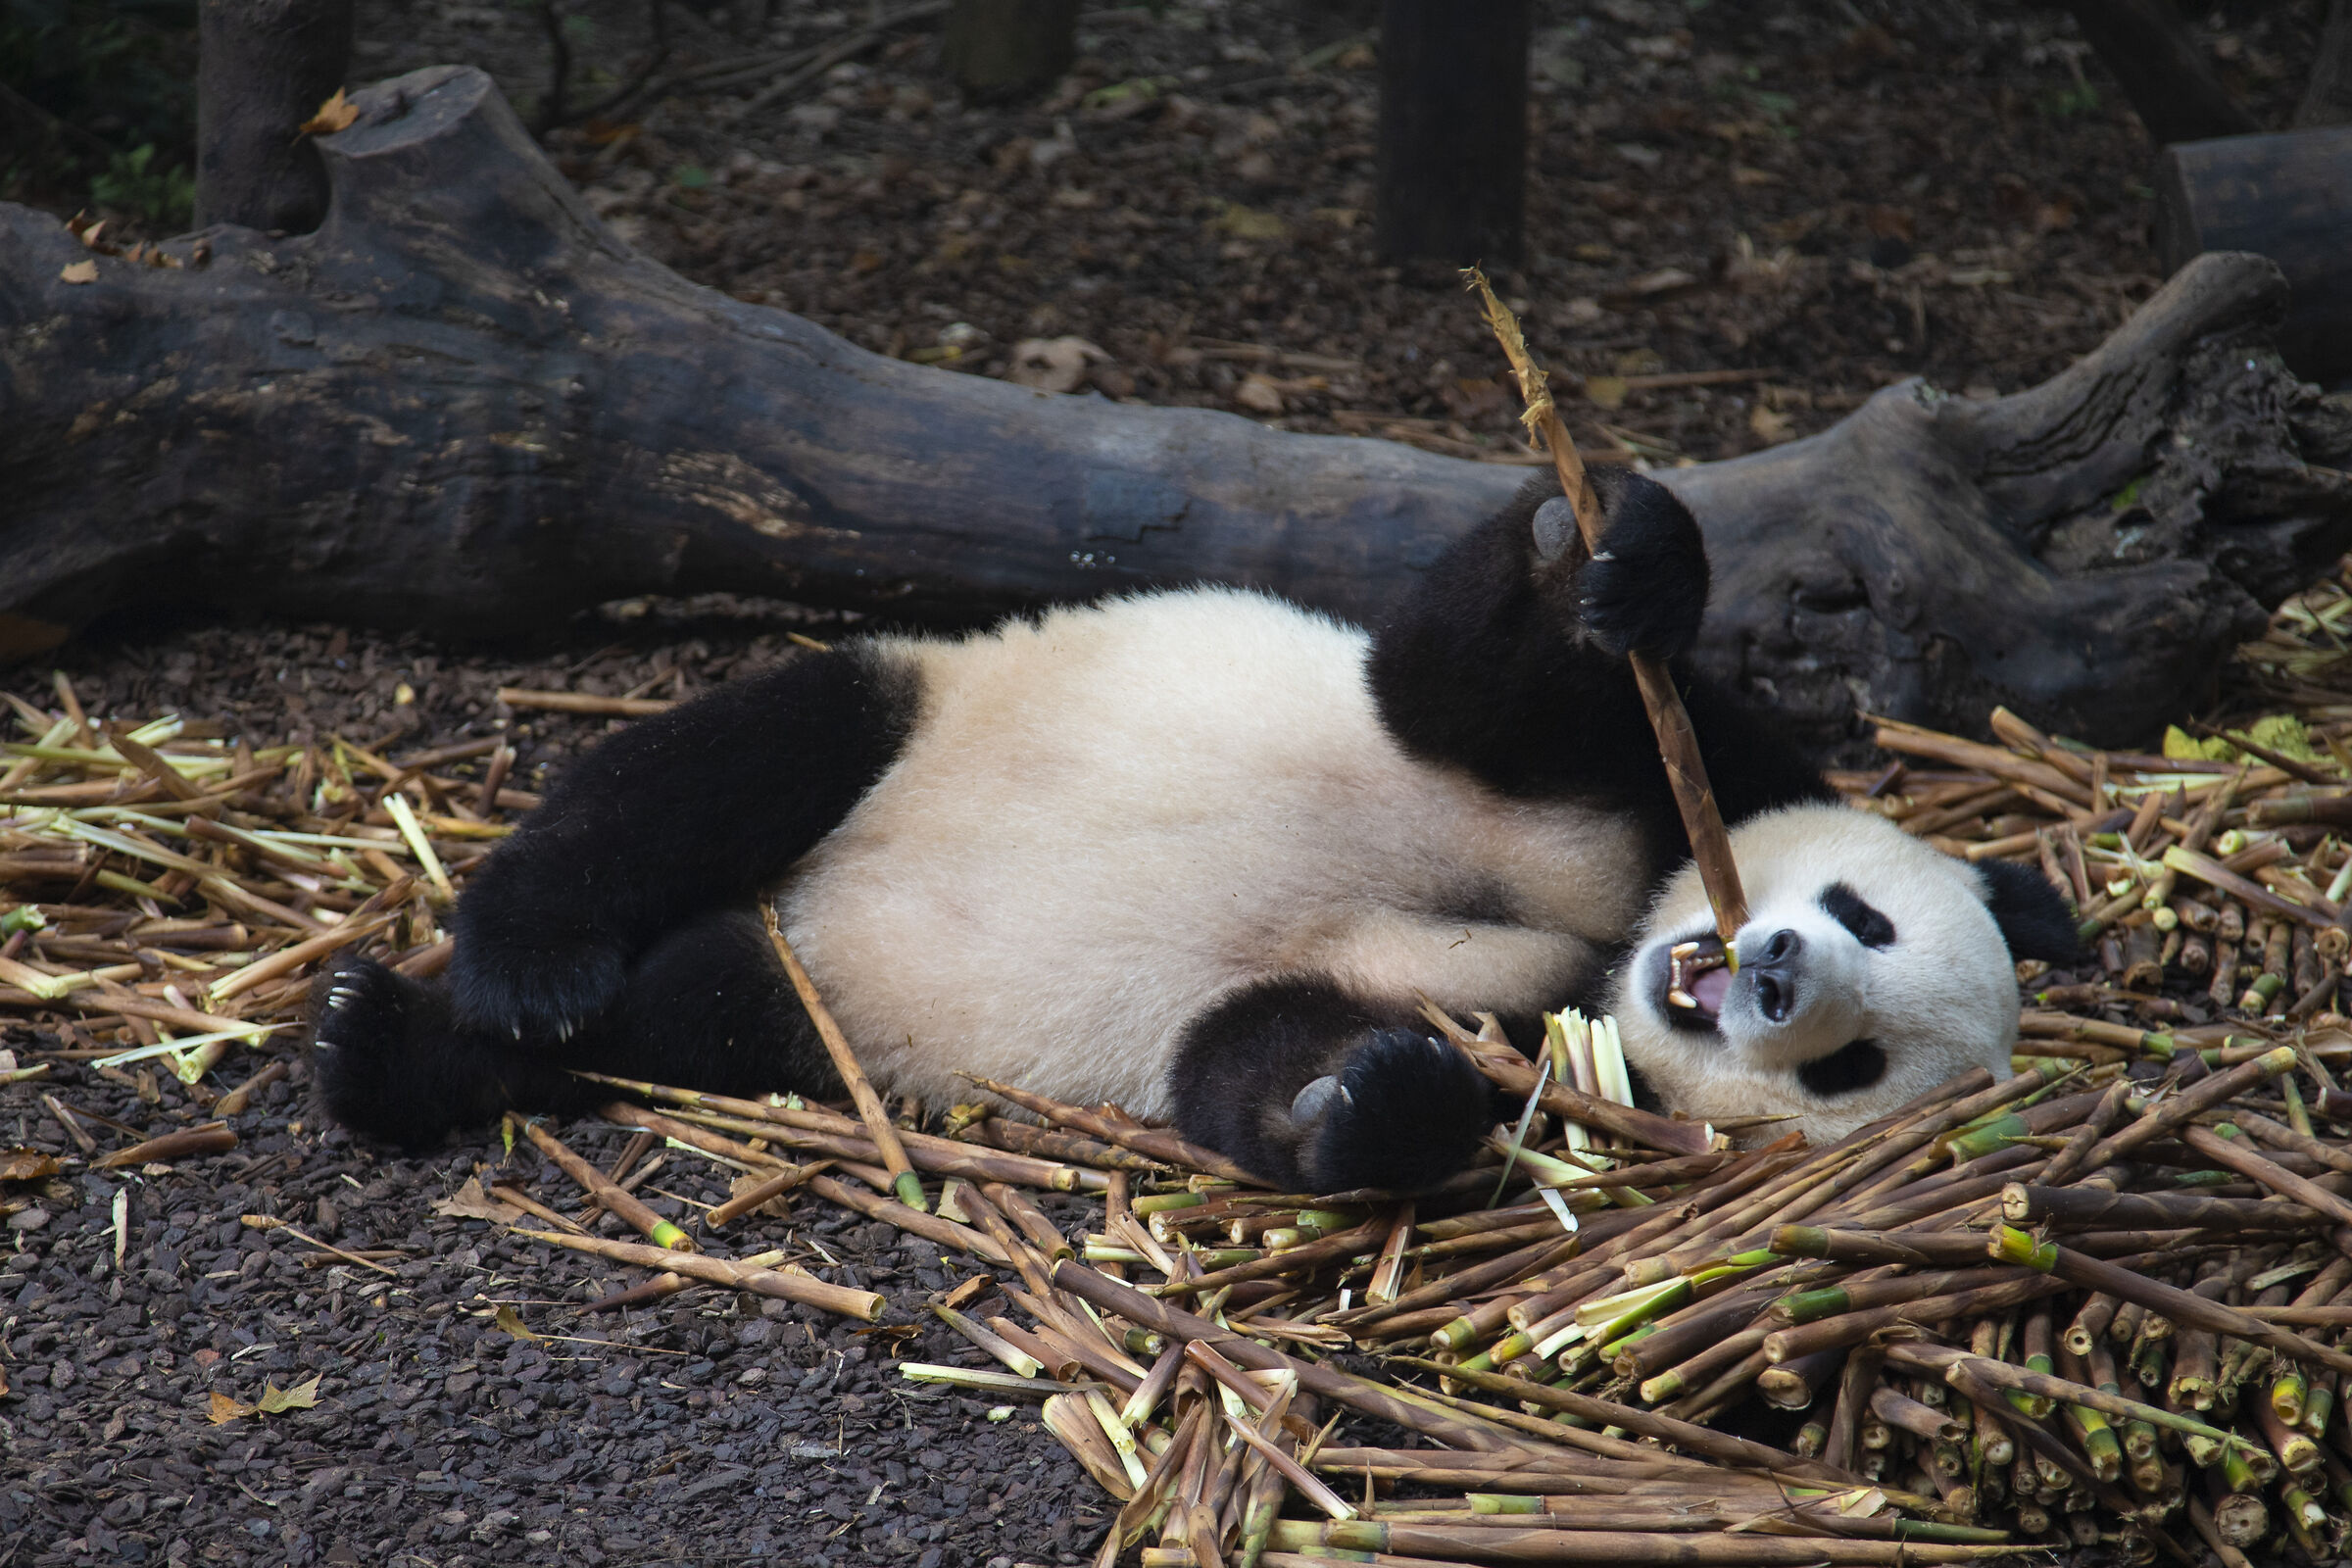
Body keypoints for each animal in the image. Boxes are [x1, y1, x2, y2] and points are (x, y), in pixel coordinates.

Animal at [313, 469, 2077, 1191]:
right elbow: (1460, 682)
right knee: (726, 759)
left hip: (822, 1020)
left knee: (686, 1020)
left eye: (1851, 1068)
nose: (1773, 975)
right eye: (1858, 912)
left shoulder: (1544, 1030)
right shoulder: (1648, 766)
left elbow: (1253, 1054)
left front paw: (1370, 1100)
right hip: (912, 716)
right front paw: (1626, 558)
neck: (1628, 926)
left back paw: (399, 1051)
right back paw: (518, 962)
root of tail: (818, 909)